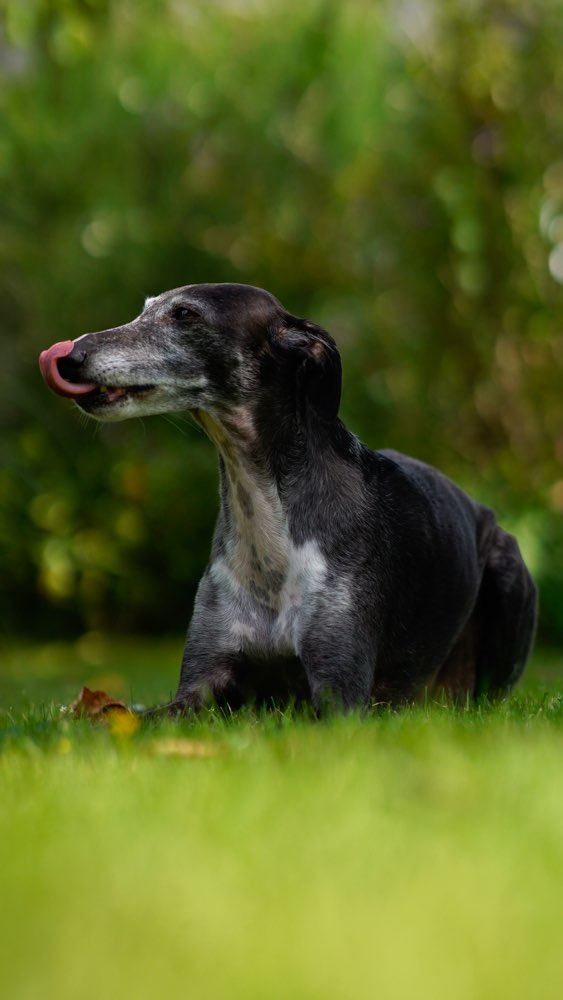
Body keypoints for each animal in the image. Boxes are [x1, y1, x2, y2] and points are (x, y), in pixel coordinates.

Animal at [37, 284, 540, 712]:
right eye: (144, 309)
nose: (69, 355)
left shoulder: (340, 694)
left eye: (184, 314)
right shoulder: (200, 684)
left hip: (507, 581)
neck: (268, 524)